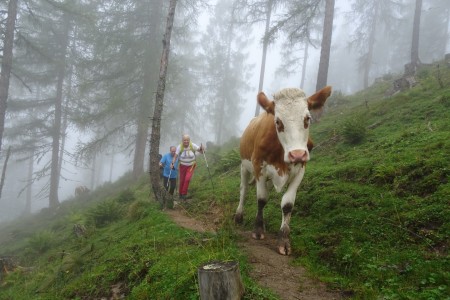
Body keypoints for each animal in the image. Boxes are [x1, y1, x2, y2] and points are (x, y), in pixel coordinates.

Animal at [236, 86, 330, 255]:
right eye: (278, 121)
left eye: (308, 118)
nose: (297, 154)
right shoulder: (259, 166)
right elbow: (261, 198)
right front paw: (258, 230)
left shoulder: (300, 169)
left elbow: (287, 204)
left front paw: (284, 240)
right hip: (244, 166)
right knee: (244, 190)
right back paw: (238, 216)